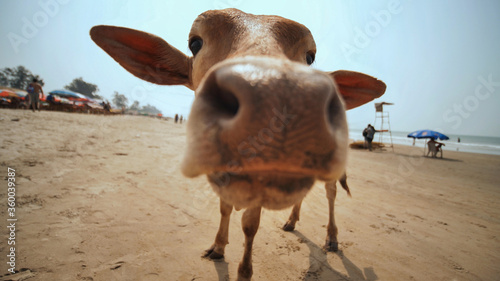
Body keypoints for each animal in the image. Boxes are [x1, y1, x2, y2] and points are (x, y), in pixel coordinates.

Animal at [91, 7, 386, 278]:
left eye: (310, 57)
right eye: (195, 43)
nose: (279, 94)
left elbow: (249, 224)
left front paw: (245, 270)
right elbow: (224, 210)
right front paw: (218, 247)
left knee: (331, 194)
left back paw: (332, 238)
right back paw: (291, 221)